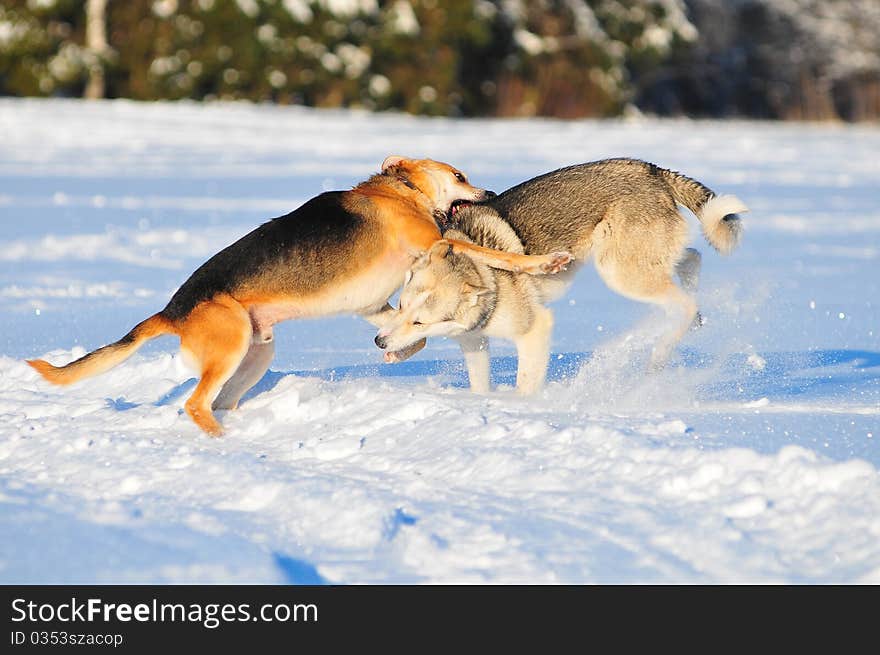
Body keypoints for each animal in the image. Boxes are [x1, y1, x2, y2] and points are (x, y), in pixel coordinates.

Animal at [27, 156, 576, 438]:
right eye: (459, 176)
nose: (490, 192)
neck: (400, 191)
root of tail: (172, 311)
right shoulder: (433, 241)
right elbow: (497, 256)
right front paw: (543, 263)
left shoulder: (370, 304)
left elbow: (402, 327)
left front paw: (398, 350)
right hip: (231, 344)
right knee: (197, 404)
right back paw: (223, 443)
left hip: (256, 353)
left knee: (219, 400)